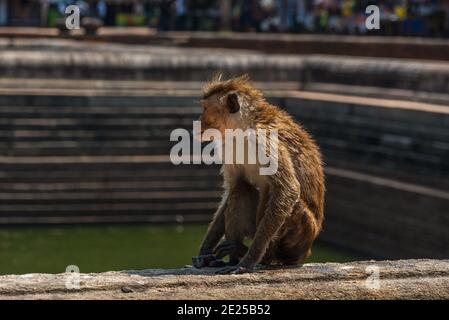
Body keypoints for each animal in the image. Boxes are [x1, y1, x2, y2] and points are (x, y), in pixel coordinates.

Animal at [191, 74, 324, 274]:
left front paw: (247, 262)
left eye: (205, 109)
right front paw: (204, 252)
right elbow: (232, 187)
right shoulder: (226, 145)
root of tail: (306, 251)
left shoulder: (265, 139)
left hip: (301, 235)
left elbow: (288, 190)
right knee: (240, 190)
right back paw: (232, 256)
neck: (242, 129)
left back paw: (257, 255)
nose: (198, 120)